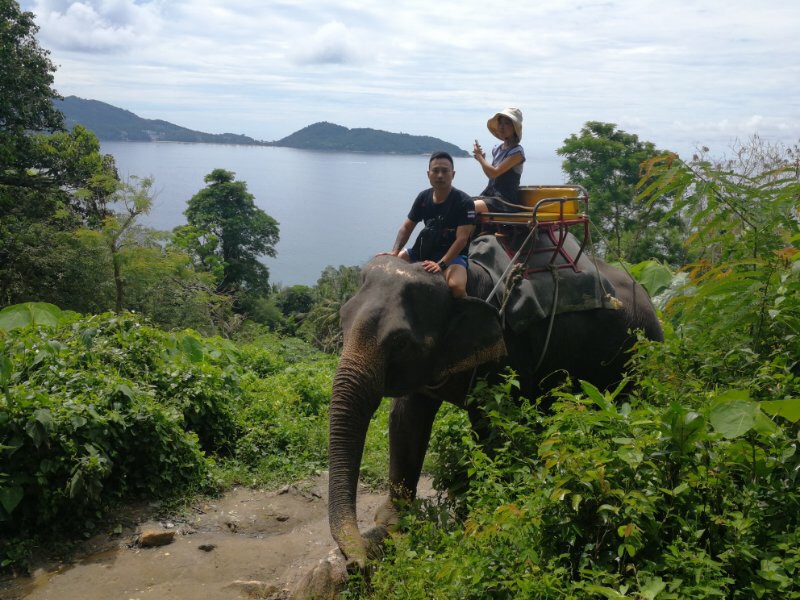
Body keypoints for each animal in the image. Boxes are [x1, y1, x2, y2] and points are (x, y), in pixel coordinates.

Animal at [324, 246, 664, 568]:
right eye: (341, 318)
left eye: (401, 342)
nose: (356, 563)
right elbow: (407, 420)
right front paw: (394, 523)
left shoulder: (508, 351)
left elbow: (492, 427)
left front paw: (484, 522)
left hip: (641, 353)